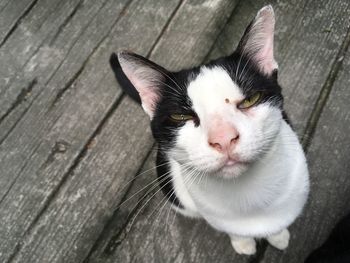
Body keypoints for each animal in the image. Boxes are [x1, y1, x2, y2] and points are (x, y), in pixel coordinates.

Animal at [109, 5, 308, 256]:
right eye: (181, 116)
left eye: (250, 100)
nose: (223, 139)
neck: (247, 193)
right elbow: (231, 229)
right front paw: (242, 242)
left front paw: (278, 235)